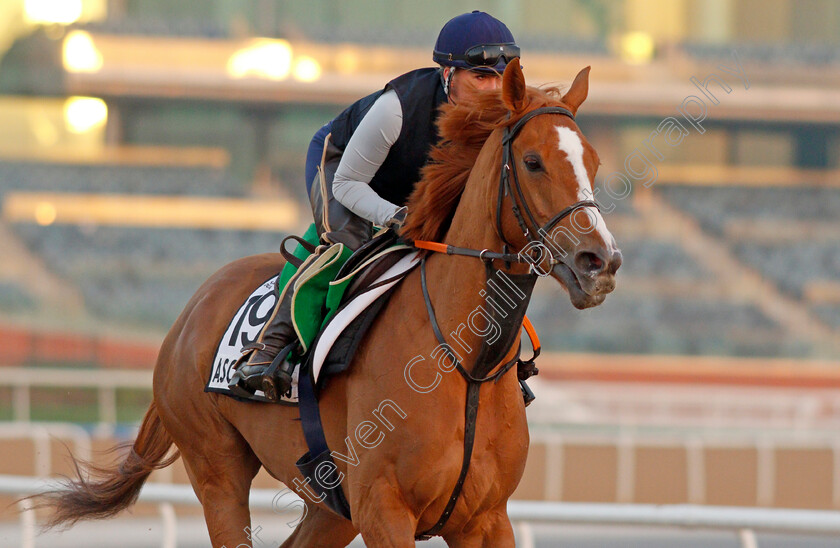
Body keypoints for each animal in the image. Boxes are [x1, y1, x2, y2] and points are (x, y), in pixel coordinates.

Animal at [37, 57, 616, 544]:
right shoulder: (385, 508)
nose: (600, 262)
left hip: (330, 505)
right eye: (534, 161)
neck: (465, 363)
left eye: (593, 160)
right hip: (217, 470)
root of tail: (192, 309)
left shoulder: (485, 518)